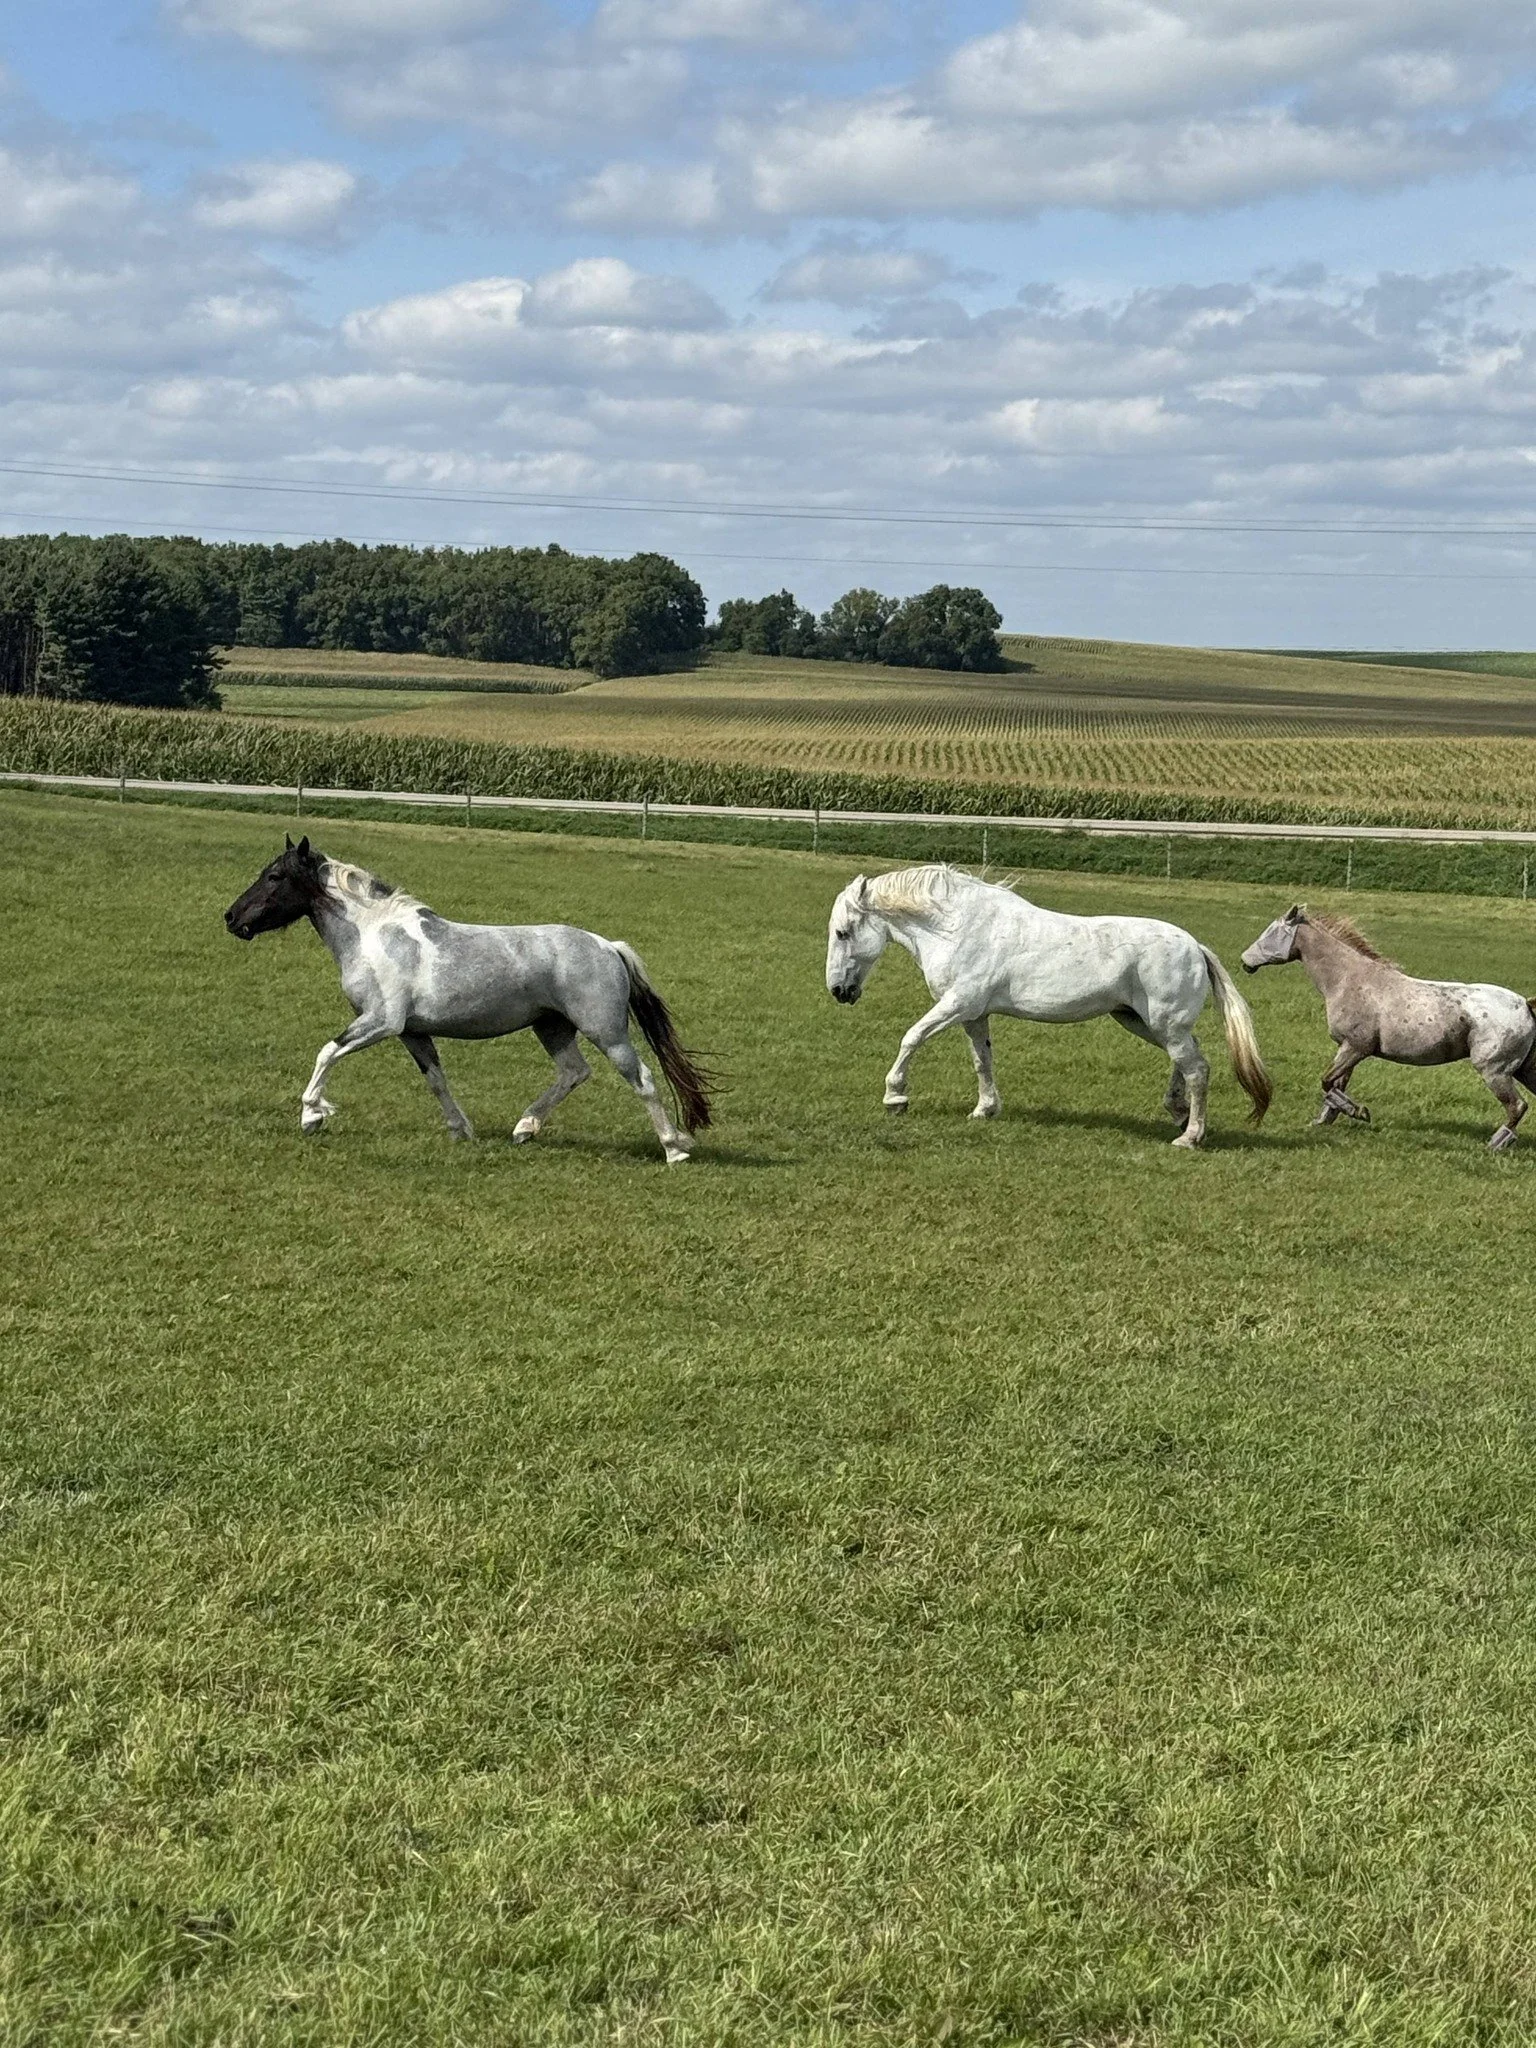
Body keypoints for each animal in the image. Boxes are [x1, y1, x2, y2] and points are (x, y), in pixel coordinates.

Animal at [223, 837, 713, 1164]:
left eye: (274, 876)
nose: (231, 917)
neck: (375, 937)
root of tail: (608, 946)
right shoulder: (412, 1033)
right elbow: (437, 1081)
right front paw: (462, 1130)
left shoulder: (381, 1021)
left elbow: (327, 1052)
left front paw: (312, 1115)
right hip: (552, 1027)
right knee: (574, 1072)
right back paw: (525, 1128)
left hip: (606, 1031)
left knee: (642, 1079)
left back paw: (674, 1148)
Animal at [825, 865, 1270, 1145]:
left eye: (843, 932)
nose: (838, 991)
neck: (957, 928)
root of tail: (1195, 946)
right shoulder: (974, 1015)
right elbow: (982, 1061)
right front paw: (984, 1110)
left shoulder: (957, 1004)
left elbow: (911, 1038)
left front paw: (895, 1098)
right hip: (1142, 1022)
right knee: (1189, 1060)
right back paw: (1179, 1113)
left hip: (1165, 1025)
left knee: (1197, 1069)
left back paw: (1190, 1136)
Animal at [1240, 903, 1536, 1150]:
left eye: (1271, 933)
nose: (1245, 962)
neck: (1348, 980)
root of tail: (1524, 1003)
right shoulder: (1347, 1049)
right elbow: (1336, 1083)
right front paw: (1326, 1119)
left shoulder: (1356, 1047)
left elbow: (1327, 1082)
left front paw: (1358, 1112)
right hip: (1523, 1070)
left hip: (1494, 1071)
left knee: (1517, 1106)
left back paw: (1495, 1143)